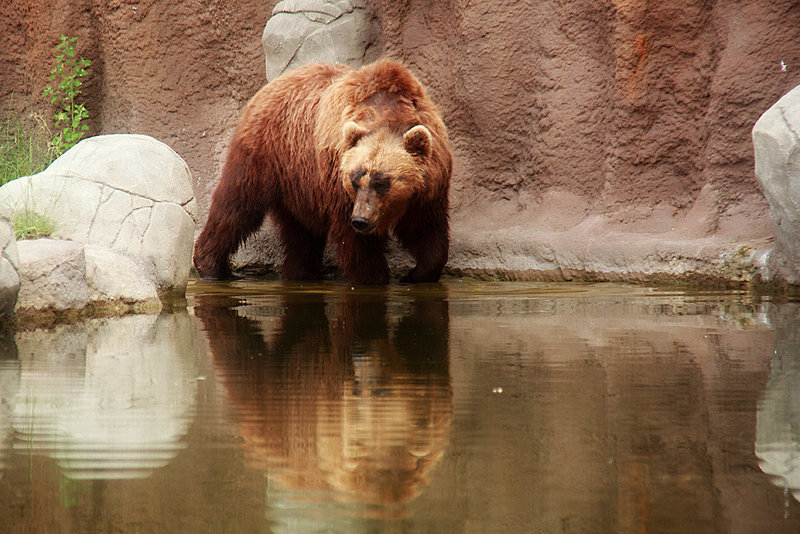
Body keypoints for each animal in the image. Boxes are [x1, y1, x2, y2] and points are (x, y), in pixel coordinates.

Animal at [192, 59, 450, 284]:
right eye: (355, 180)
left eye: (382, 181)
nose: (361, 220)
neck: (388, 114)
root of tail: (272, 84)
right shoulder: (340, 188)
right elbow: (358, 247)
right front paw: (374, 278)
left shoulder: (429, 189)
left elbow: (427, 232)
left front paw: (416, 275)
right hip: (264, 153)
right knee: (237, 206)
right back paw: (211, 266)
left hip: (299, 183)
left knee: (301, 234)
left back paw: (300, 273)